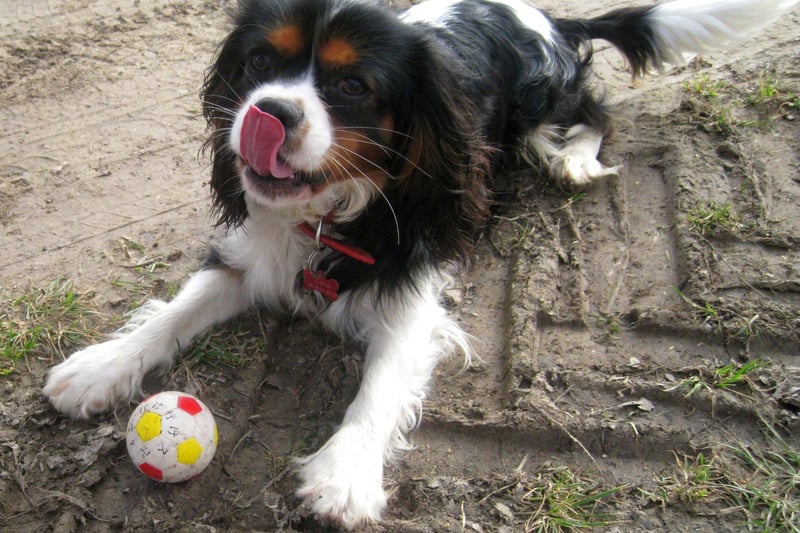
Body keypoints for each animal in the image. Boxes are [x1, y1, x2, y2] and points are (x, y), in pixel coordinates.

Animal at [45, 0, 800, 524]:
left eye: (353, 86)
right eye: (259, 63)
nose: (269, 111)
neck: (330, 212)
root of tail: (547, 16)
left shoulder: (414, 301)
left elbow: (378, 387)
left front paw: (345, 475)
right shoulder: (250, 252)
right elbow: (176, 309)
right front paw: (99, 367)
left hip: (543, 98)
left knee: (594, 112)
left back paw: (574, 160)